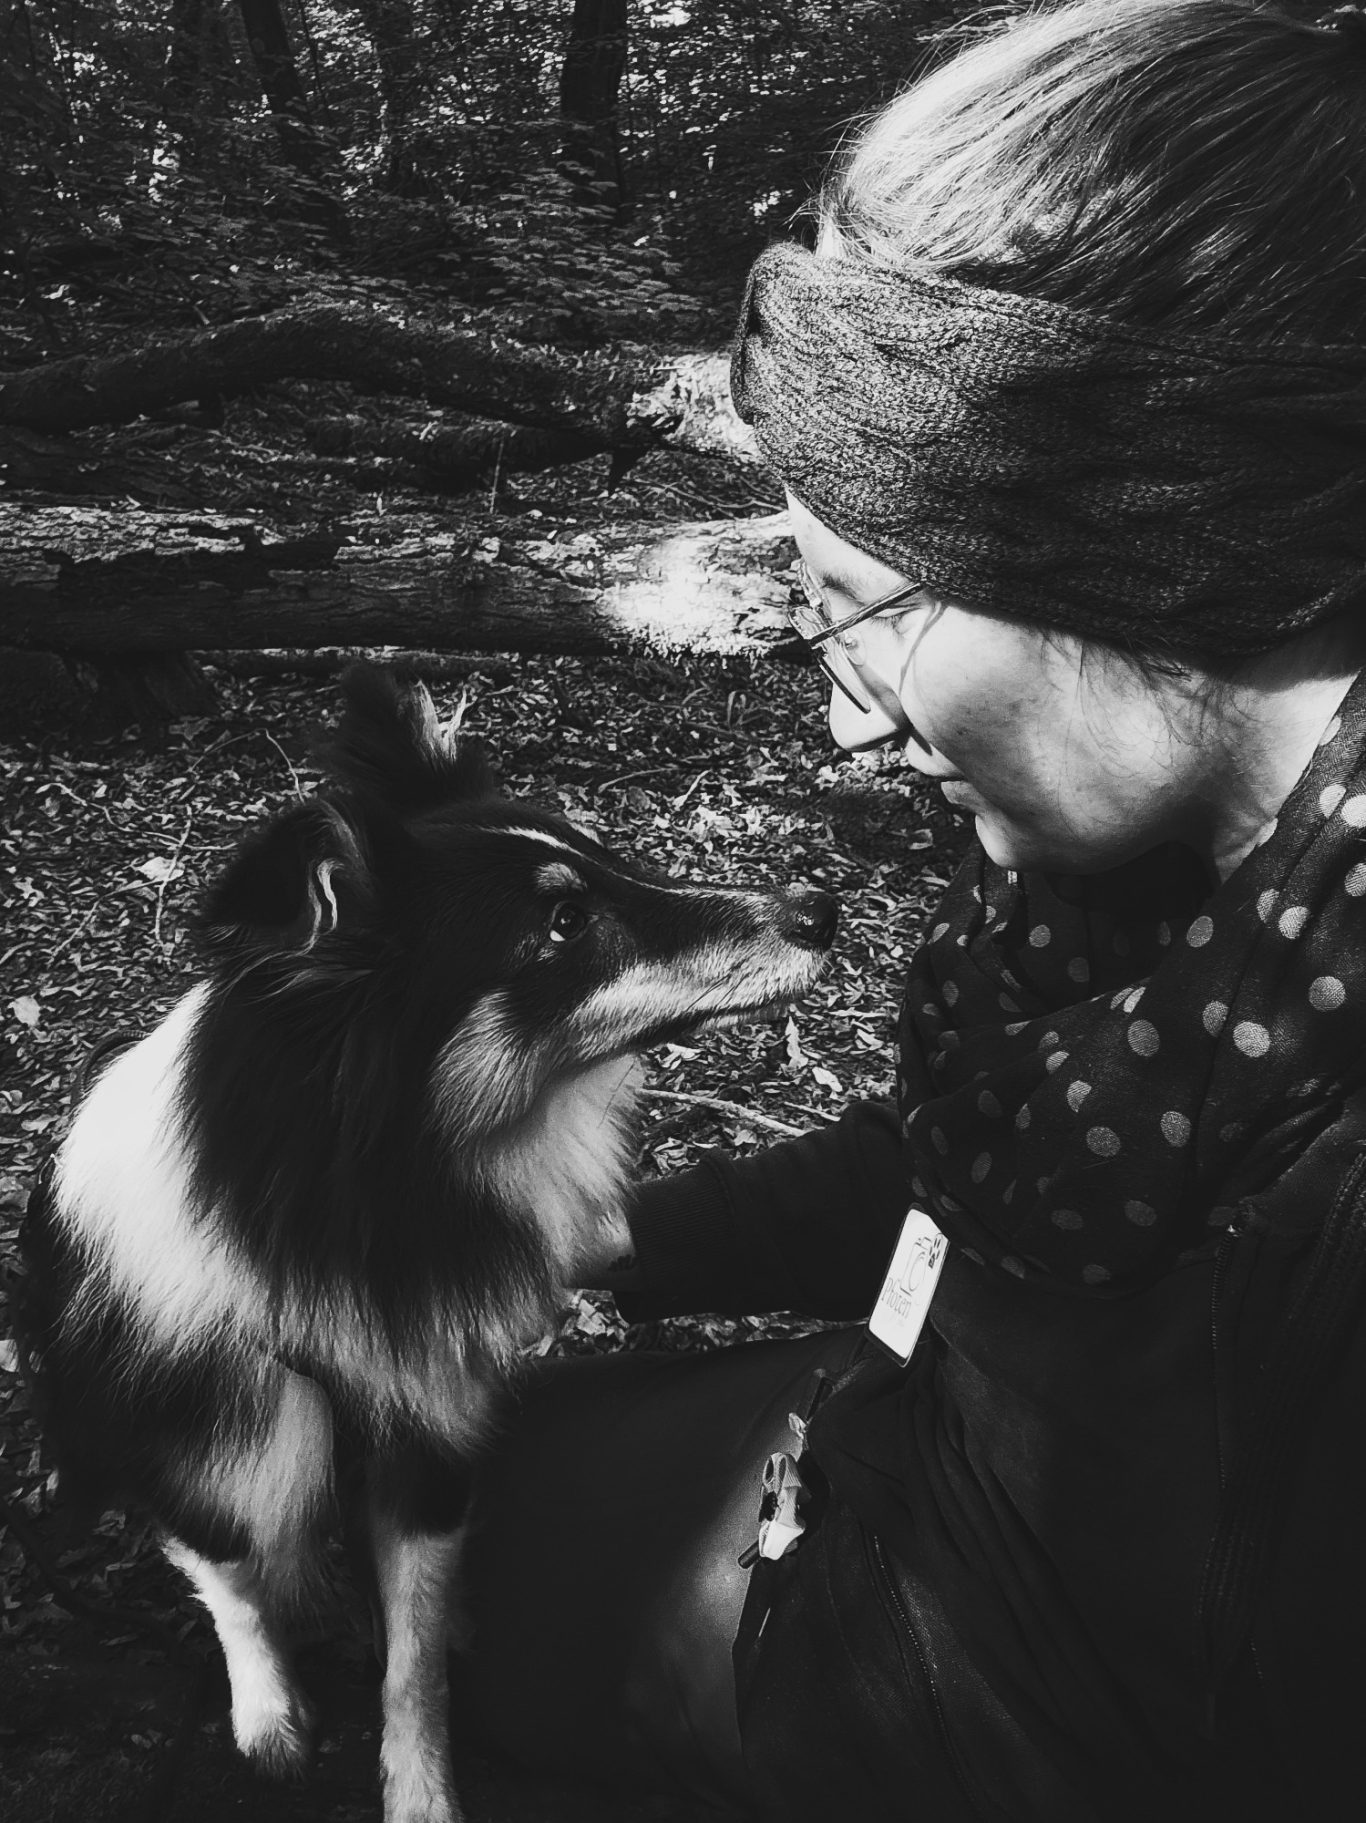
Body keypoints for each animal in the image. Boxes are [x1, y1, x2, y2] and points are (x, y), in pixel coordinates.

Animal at [17, 666, 837, 1823]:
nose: (823, 907)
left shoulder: (429, 1426)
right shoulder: (201, 1429)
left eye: (603, 858)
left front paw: (420, 1784)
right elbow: (233, 1573)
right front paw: (267, 1711)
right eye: (565, 919)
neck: (350, 1201)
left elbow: (413, 1658)